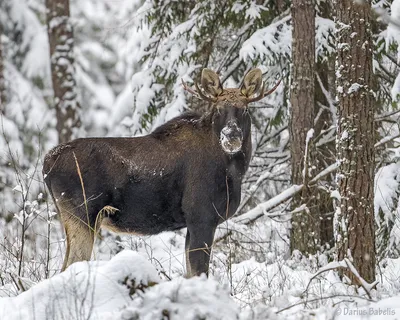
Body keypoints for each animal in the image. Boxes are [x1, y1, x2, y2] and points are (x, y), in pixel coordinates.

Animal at [42, 68, 280, 278]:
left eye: (245, 109)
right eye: (219, 109)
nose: (231, 136)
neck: (234, 172)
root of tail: (46, 164)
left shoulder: (193, 223)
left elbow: (190, 273)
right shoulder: (201, 216)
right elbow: (200, 272)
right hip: (82, 214)